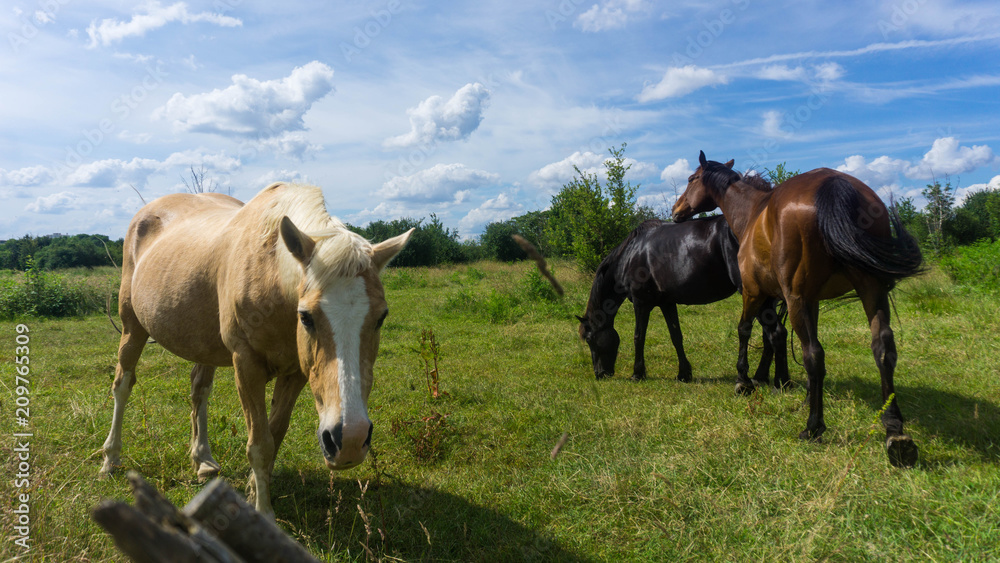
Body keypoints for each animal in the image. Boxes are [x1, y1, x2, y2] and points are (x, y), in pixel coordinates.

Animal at [99, 182, 412, 515]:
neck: (272, 276)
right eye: (306, 317)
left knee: (199, 391)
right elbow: (259, 444)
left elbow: (275, 434)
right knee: (123, 384)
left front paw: (252, 490)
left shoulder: (297, 373)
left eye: (381, 316)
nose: (349, 439)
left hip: (202, 344)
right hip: (132, 327)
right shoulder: (246, 366)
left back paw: (202, 460)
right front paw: (262, 511)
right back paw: (111, 459)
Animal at [577, 215, 789, 386]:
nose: (600, 373)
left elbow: (639, 337)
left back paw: (781, 381)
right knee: (769, 336)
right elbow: (676, 336)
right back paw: (761, 377)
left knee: (776, 333)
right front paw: (684, 374)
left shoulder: (641, 303)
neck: (631, 255)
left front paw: (637, 374)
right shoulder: (667, 303)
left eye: (589, 339)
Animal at [672, 152, 924, 467]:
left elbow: (745, 331)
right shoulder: (808, 301)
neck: (752, 212)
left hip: (797, 300)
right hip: (871, 292)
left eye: (691, 179)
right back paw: (895, 433)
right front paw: (800, 392)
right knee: (882, 349)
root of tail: (834, 183)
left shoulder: (754, 293)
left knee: (813, 354)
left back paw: (813, 427)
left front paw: (744, 381)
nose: (676, 209)